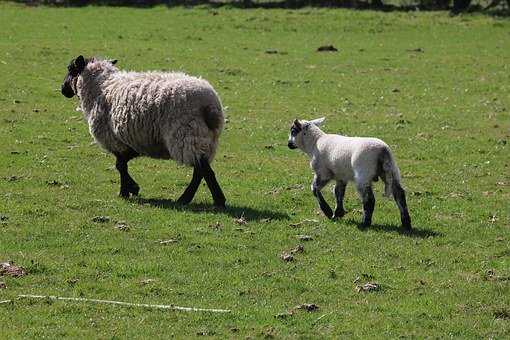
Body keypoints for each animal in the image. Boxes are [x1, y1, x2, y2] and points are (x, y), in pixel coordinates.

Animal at [60, 55, 226, 207]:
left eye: (70, 68)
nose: (62, 89)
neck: (101, 86)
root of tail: (211, 105)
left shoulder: (114, 140)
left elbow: (120, 166)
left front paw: (126, 191)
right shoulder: (131, 142)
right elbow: (123, 163)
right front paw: (132, 188)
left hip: (187, 136)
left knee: (203, 170)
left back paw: (202, 199)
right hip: (206, 139)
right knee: (201, 170)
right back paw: (201, 199)